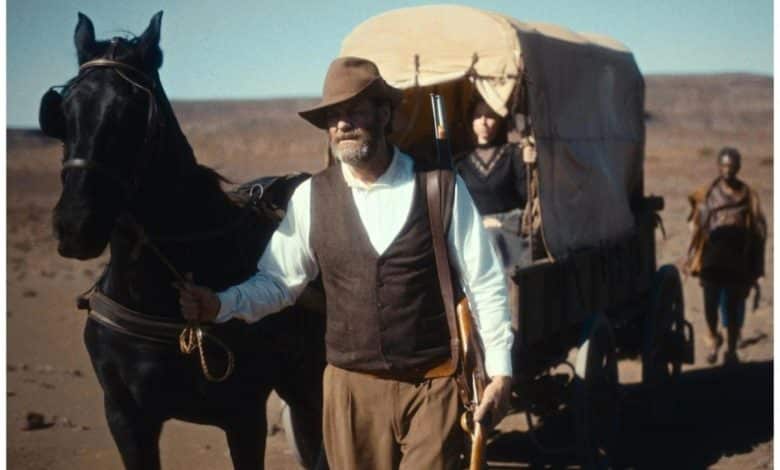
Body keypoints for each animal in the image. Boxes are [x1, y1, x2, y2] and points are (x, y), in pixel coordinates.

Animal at [37, 11, 326, 470]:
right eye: (63, 111)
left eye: (132, 111)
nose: (75, 225)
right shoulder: (125, 417)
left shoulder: (244, 417)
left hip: (307, 381)